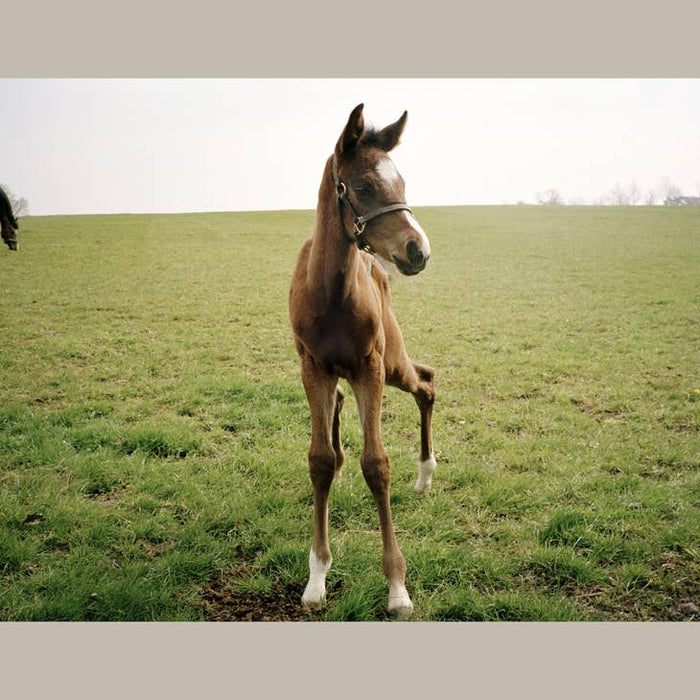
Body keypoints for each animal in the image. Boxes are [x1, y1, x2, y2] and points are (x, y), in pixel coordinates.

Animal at [289, 104, 436, 617]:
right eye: (365, 186)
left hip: (392, 363)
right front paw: (316, 577)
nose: (418, 250)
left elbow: (376, 465)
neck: (332, 292)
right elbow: (319, 460)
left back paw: (426, 473)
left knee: (427, 381)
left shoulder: (369, 367)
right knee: (337, 413)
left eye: (403, 182)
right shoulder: (312, 366)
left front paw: (397, 587)